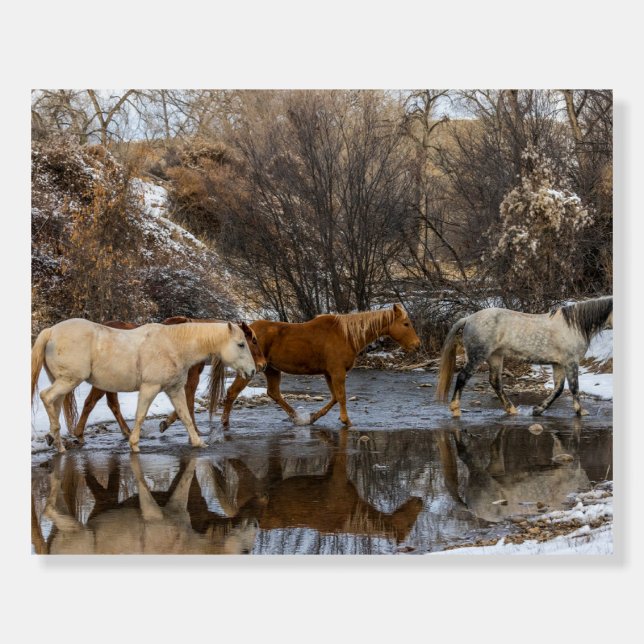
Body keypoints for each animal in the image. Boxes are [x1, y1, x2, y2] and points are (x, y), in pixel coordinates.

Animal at [31, 318, 256, 453]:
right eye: (241, 344)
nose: (253, 371)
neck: (173, 345)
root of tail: (51, 331)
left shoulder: (175, 389)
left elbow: (184, 416)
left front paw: (197, 442)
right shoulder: (150, 387)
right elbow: (141, 415)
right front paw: (134, 444)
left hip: (63, 382)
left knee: (55, 404)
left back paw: (56, 440)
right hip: (69, 381)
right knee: (46, 397)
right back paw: (60, 444)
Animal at [220, 303, 421, 428]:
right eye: (406, 324)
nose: (417, 345)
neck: (347, 335)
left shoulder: (328, 373)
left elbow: (334, 398)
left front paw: (313, 417)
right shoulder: (337, 372)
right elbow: (341, 397)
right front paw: (347, 421)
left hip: (271, 369)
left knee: (274, 393)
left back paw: (297, 418)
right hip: (250, 370)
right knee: (232, 393)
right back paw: (224, 422)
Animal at [436, 296, 613, 418]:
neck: (574, 326)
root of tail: (468, 319)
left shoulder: (558, 364)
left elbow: (558, 389)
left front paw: (538, 409)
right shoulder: (570, 362)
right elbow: (574, 388)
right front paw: (580, 412)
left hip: (495, 356)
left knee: (495, 382)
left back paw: (512, 410)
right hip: (478, 356)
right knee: (462, 377)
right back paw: (456, 409)